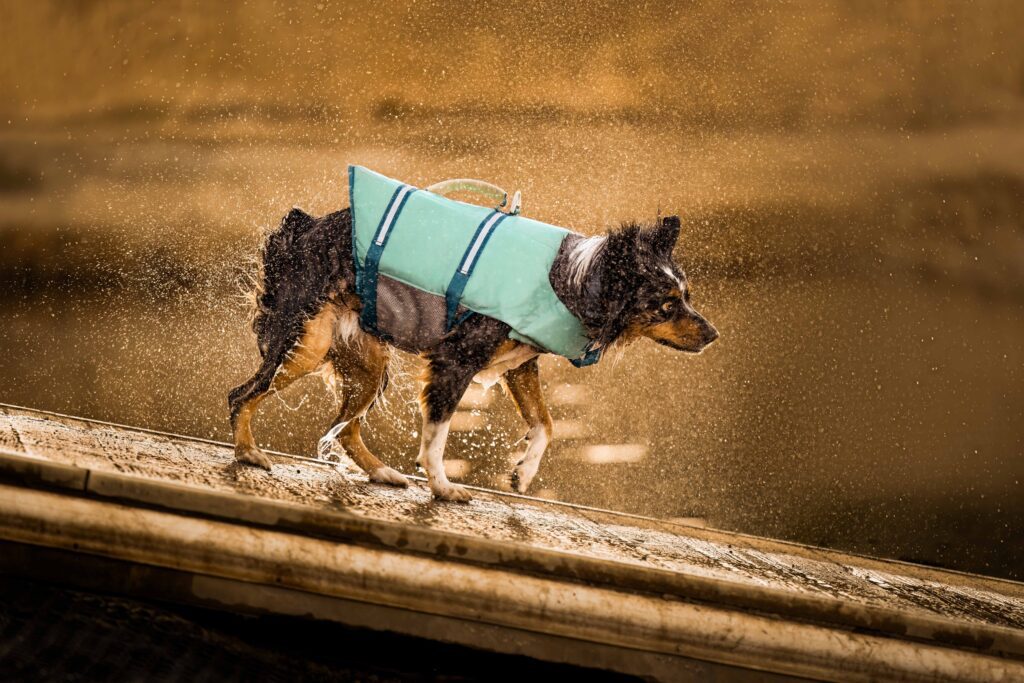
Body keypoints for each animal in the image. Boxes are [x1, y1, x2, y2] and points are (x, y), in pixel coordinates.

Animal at [228, 181, 716, 501]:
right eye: (666, 304)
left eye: (687, 296)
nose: (713, 335)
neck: (574, 280)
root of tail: (302, 228)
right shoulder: (454, 360)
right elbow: (437, 434)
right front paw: (443, 487)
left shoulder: (520, 362)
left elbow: (546, 423)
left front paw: (522, 474)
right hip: (305, 343)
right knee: (242, 394)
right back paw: (248, 452)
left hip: (367, 360)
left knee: (346, 428)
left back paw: (383, 473)